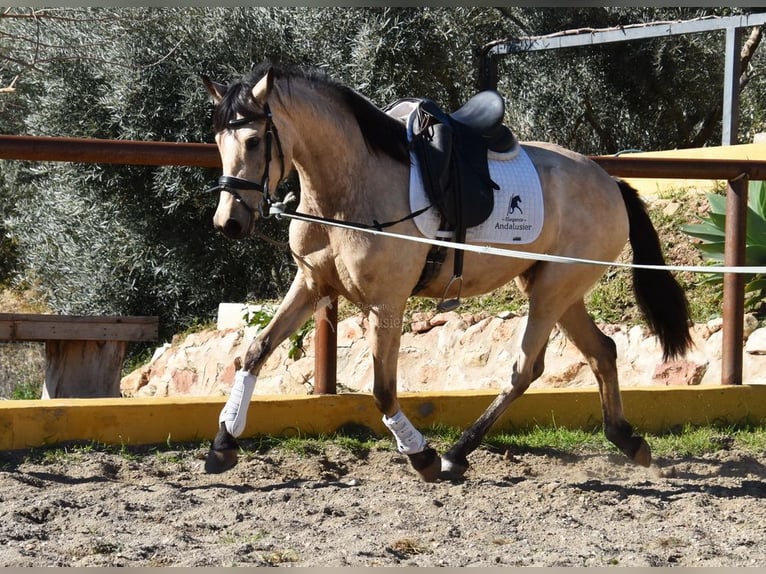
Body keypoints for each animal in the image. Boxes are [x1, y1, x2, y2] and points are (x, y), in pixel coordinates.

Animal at [201, 63, 692, 484]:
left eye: (253, 141)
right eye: (219, 142)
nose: (228, 223)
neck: (347, 190)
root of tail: (610, 182)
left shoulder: (387, 303)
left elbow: (382, 389)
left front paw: (422, 456)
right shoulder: (311, 285)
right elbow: (254, 353)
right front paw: (223, 443)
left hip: (553, 290)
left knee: (525, 369)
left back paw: (458, 452)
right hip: (555, 289)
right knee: (600, 352)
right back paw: (627, 441)